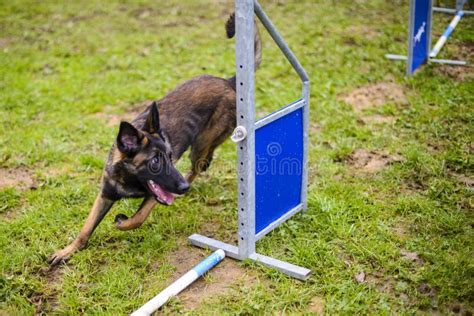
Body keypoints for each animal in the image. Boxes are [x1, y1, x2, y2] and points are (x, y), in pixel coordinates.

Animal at [49, 12, 262, 264]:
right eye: (154, 161)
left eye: (169, 156)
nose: (183, 188)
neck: (129, 177)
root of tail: (227, 81)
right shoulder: (104, 195)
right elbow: (86, 228)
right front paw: (68, 250)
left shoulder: (155, 196)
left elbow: (137, 218)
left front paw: (122, 222)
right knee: (205, 159)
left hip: (200, 144)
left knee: (198, 164)